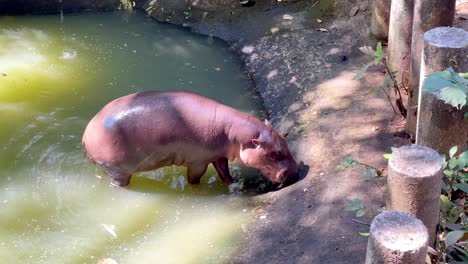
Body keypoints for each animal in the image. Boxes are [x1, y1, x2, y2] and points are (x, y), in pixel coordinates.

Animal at [82, 92, 298, 187]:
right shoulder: (198, 161)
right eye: (275, 154)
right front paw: (197, 188)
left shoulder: (218, 154)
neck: (235, 133)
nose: (295, 171)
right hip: (118, 170)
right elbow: (195, 177)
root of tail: (86, 134)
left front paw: (234, 184)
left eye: (285, 141)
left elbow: (223, 171)